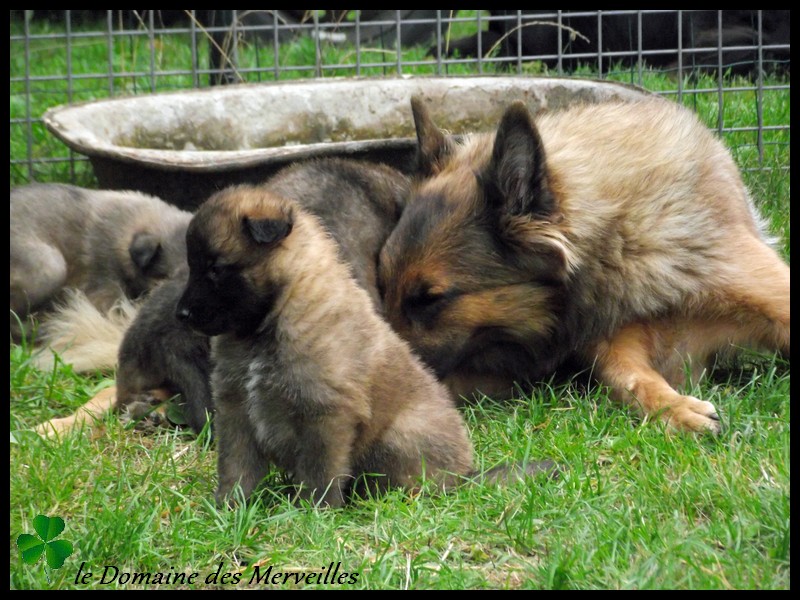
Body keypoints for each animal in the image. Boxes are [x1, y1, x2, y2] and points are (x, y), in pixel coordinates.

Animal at [177, 188, 476, 506]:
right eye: (194, 266)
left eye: (215, 269)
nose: (180, 314)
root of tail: (467, 475)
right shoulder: (236, 408)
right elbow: (236, 465)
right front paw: (228, 505)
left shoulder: (325, 413)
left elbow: (320, 471)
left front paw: (314, 510)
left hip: (397, 436)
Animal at [378, 98, 792, 436]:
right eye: (383, 288)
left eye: (430, 299)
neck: (624, 247)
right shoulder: (617, 338)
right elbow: (626, 376)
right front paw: (676, 409)